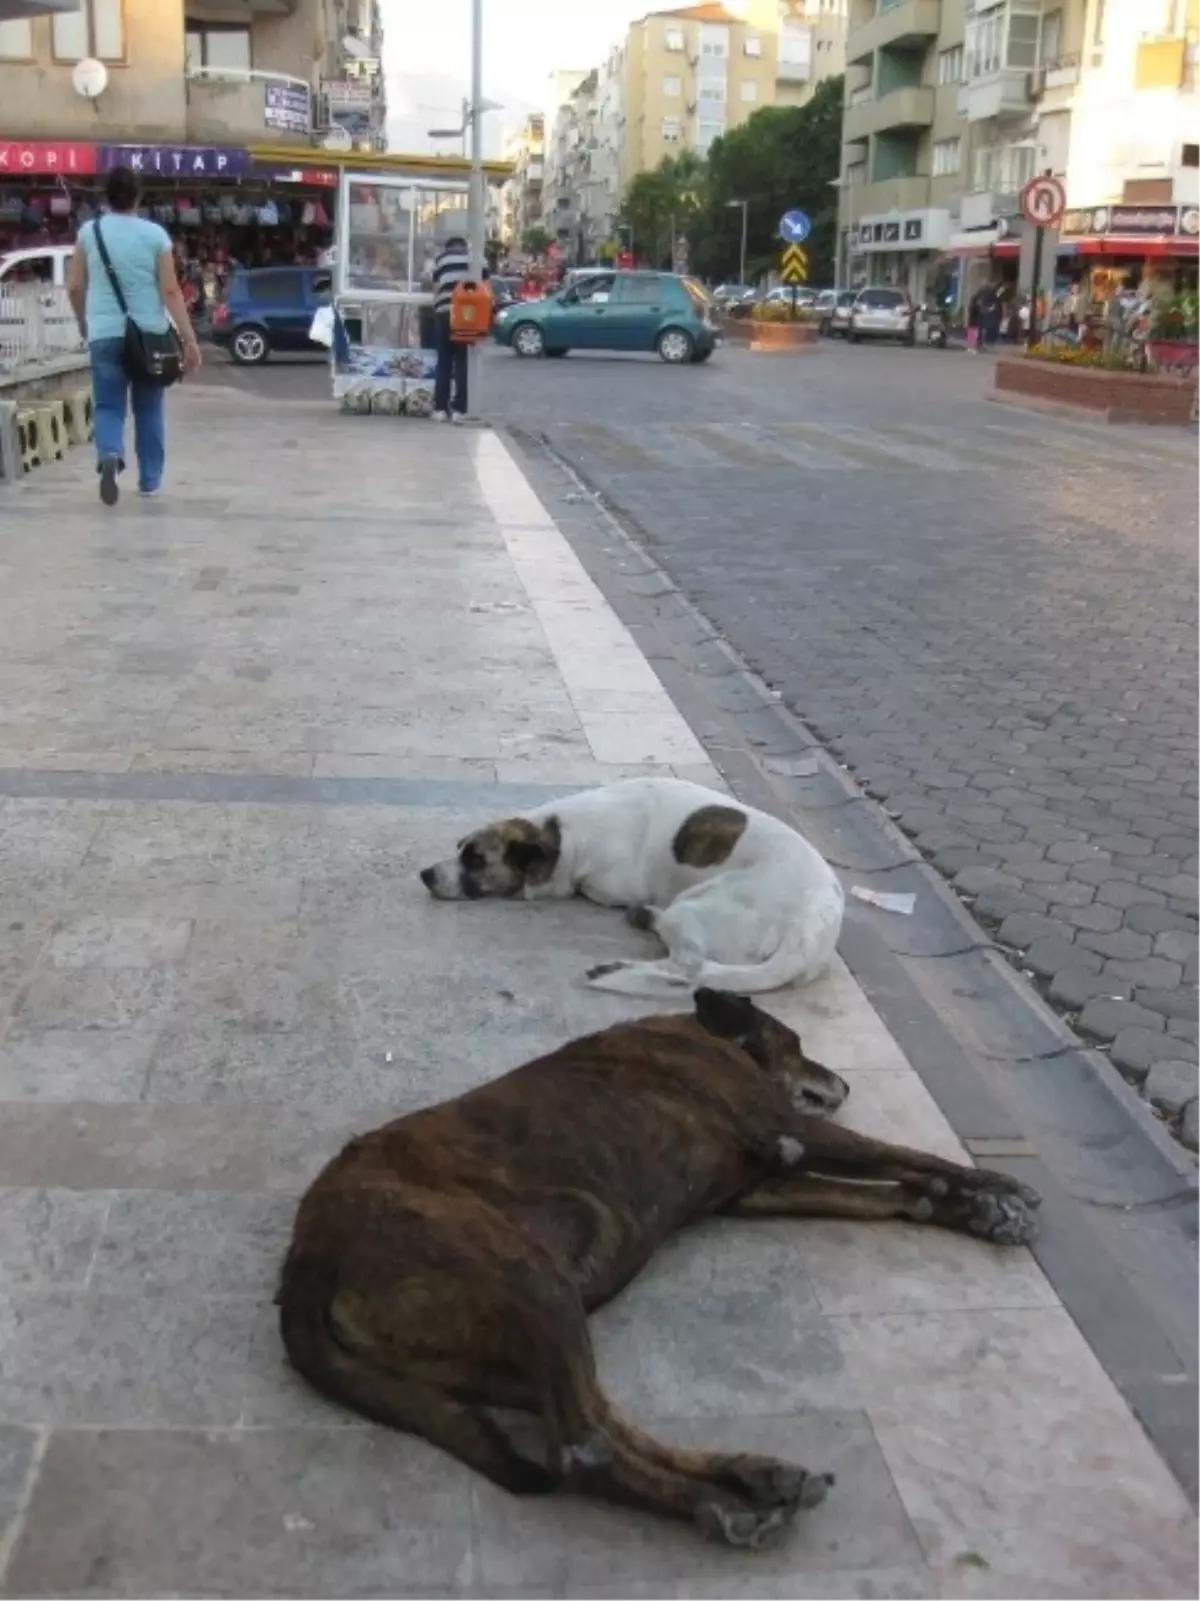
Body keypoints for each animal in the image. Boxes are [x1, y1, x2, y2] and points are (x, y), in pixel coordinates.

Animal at [281, 986, 1043, 1549]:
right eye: (798, 1044)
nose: (846, 1082)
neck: (707, 1034)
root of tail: (307, 1254)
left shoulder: (761, 1187)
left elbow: (889, 1188)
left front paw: (968, 1208)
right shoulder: (786, 1129)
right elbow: (907, 1154)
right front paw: (996, 1188)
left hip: (495, 1350)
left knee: (594, 1418)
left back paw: (752, 1477)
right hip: (526, 1278)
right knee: (581, 1447)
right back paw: (725, 1504)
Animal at [422, 778, 844, 992]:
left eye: (475, 860)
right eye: (459, 849)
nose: (425, 874)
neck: (562, 835)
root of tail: (810, 927)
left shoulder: (608, 886)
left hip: (692, 906)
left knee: (689, 967)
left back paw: (623, 960)